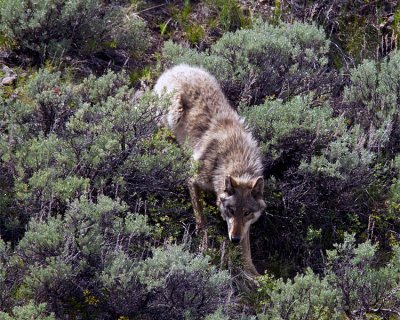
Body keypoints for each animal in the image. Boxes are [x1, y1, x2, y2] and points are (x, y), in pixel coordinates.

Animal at [154, 64, 266, 276]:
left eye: (247, 213)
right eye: (231, 210)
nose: (234, 239)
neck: (233, 161)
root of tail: (177, 67)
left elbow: (247, 249)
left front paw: (253, 274)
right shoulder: (192, 180)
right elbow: (202, 221)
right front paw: (203, 248)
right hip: (172, 116)